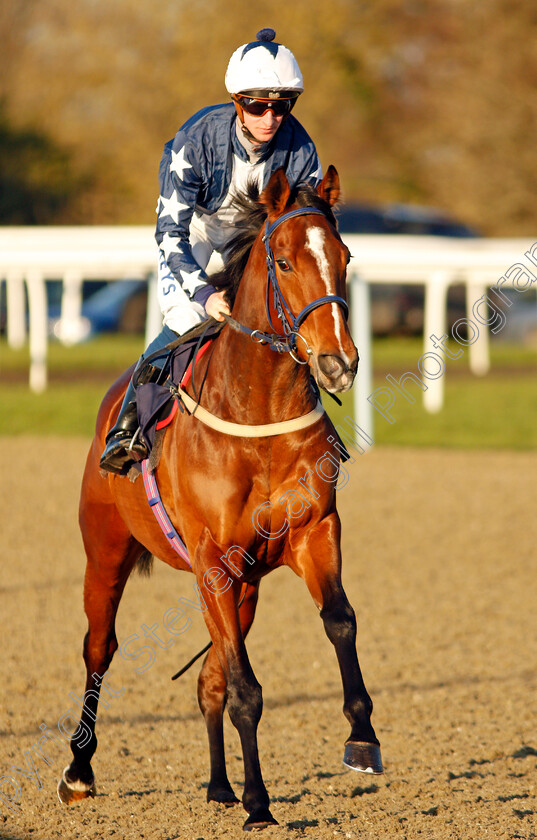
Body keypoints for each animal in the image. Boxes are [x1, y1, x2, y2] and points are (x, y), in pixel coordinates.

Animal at [58, 164, 382, 828]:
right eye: (283, 261)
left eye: (344, 255)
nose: (338, 362)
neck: (258, 414)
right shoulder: (212, 560)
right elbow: (246, 690)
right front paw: (259, 802)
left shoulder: (312, 532)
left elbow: (339, 621)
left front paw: (362, 737)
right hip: (105, 553)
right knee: (100, 648)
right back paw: (79, 770)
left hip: (246, 585)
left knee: (208, 679)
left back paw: (218, 786)